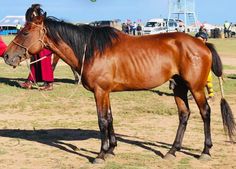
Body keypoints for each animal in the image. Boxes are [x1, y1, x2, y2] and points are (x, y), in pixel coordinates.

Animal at [2, 4, 235, 164]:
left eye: (24, 32)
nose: (7, 56)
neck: (90, 49)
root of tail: (201, 43)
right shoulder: (106, 92)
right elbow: (110, 118)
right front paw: (112, 148)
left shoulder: (100, 92)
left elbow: (102, 120)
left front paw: (101, 153)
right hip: (179, 87)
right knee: (184, 114)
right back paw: (172, 151)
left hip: (195, 87)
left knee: (205, 113)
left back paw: (205, 151)